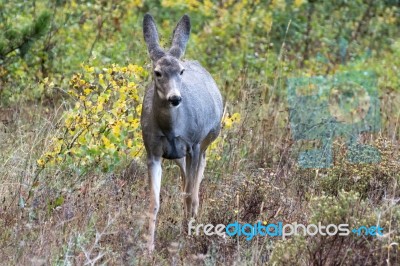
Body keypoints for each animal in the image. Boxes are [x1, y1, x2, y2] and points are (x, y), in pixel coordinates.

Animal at [141, 14, 223, 251]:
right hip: (178, 155)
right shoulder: (152, 152)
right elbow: (154, 201)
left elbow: (190, 195)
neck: (171, 128)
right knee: (186, 180)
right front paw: (149, 248)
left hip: (205, 142)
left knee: (194, 187)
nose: (175, 98)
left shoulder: (193, 145)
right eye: (157, 72)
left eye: (181, 71)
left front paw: (188, 237)